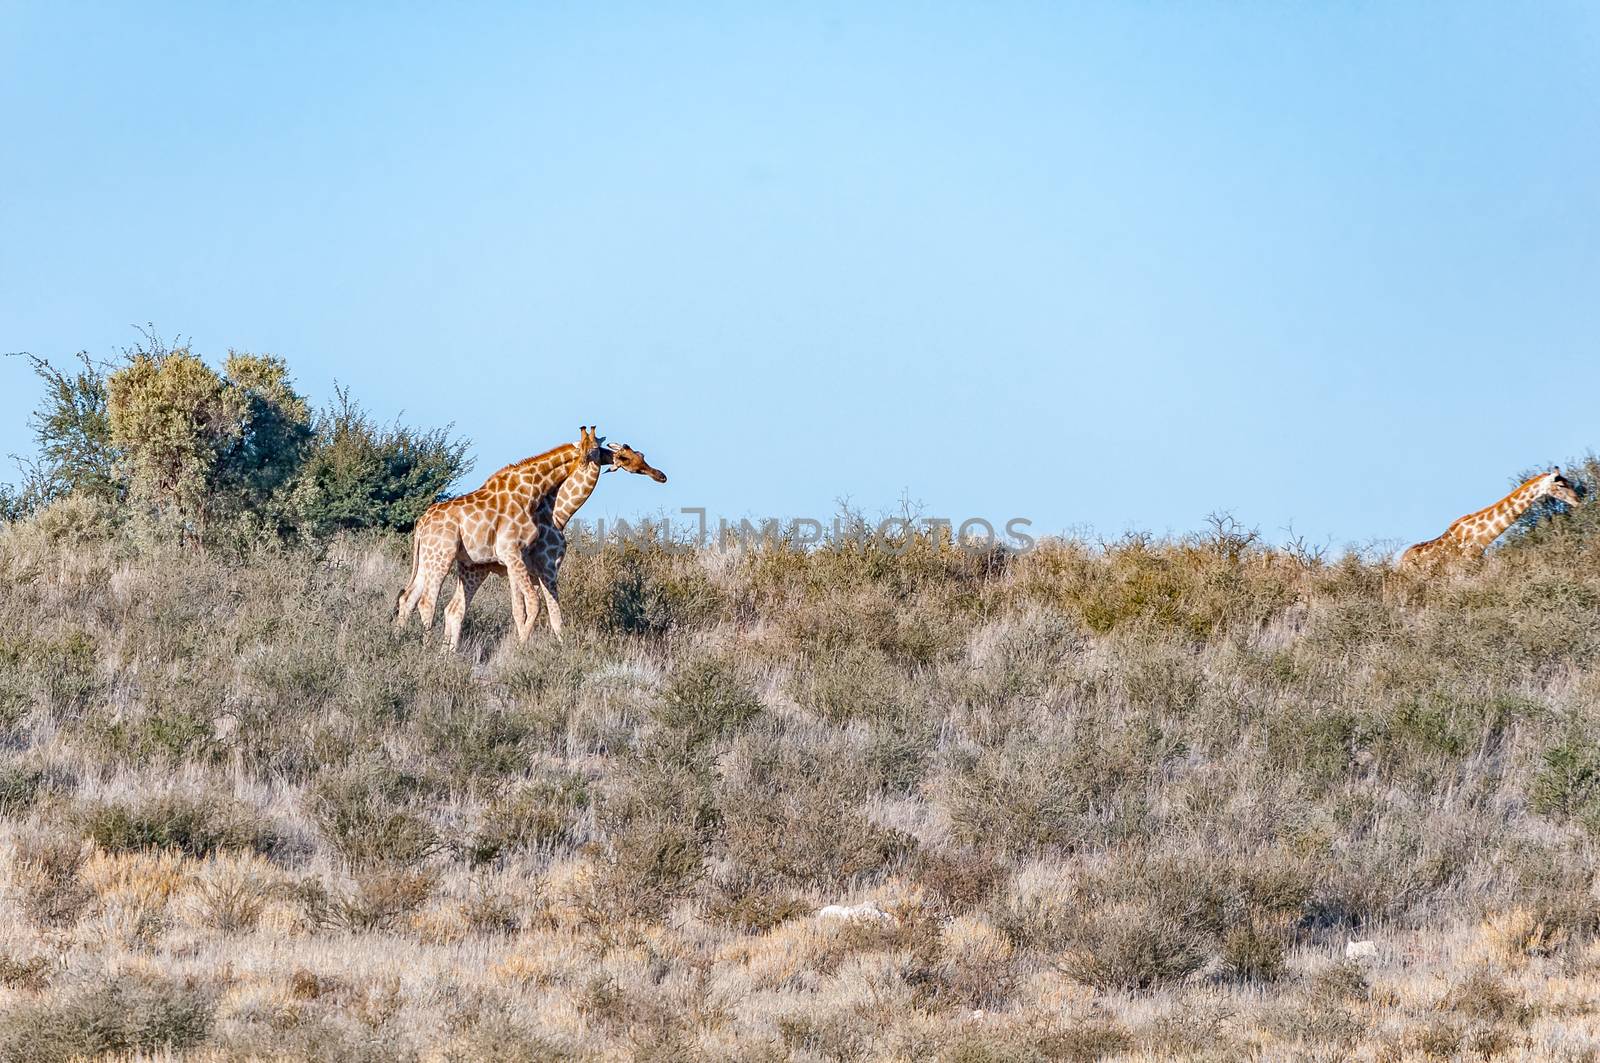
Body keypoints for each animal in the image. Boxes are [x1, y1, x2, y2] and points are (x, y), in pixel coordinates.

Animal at [392, 425, 604, 643]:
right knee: (427, 602)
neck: (532, 490)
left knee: (413, 599)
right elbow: (534, 605)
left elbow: (527, 608)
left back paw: (400, 640)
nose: (586, 462)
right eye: (595, 448)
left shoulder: (521, 561)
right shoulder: (520, 555)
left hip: (432, 559)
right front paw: (522, 646)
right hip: (442, 556)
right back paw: (427, 647)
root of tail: (422, 522)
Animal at [441, 438, 665, 646]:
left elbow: (524, 612)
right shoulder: (547, 568)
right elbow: (552, 617)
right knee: (455, 608)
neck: (557, 514)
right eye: (626, 457)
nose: (660, 475)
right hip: (475, 570)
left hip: (474, 570)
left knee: (454, 609)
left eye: (641, 454)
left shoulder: (530, 572)